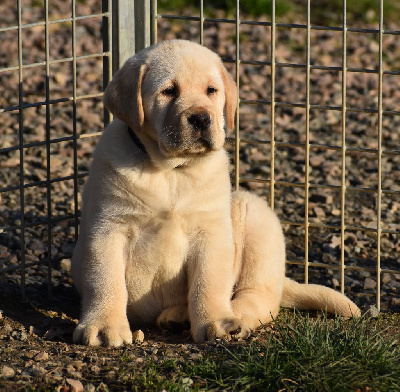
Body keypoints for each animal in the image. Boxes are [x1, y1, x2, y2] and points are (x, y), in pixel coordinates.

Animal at [70, 39, 360, 346]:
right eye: (168, 91)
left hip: (254, 214)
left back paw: (231, 316)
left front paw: (217, 321)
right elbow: (105, 280)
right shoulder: (108, 228)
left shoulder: (211, 232)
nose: (200, 118)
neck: (171, 171)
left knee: (259, 297)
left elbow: (208, 283)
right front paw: (104, 325)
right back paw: (178, 316)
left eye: (211, 90)